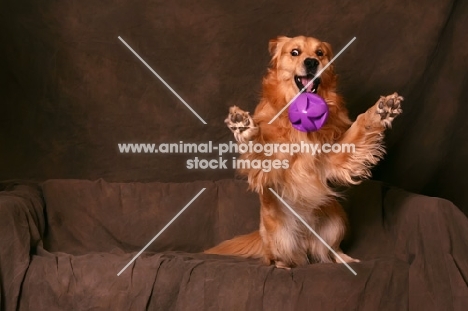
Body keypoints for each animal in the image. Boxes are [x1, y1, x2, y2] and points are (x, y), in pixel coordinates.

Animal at [205, 35, 402, 270]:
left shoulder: (332, 158)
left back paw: (344, 259)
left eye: (319, 53)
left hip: (337, 219)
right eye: (295, 52)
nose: (311, 63)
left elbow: (360, 127)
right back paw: (283, 265)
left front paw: (380, 111)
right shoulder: (274, 162)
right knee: (280, 257)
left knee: (330, 250)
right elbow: (261, 146)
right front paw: (245, 127)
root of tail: (306, 241)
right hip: (278, 232)